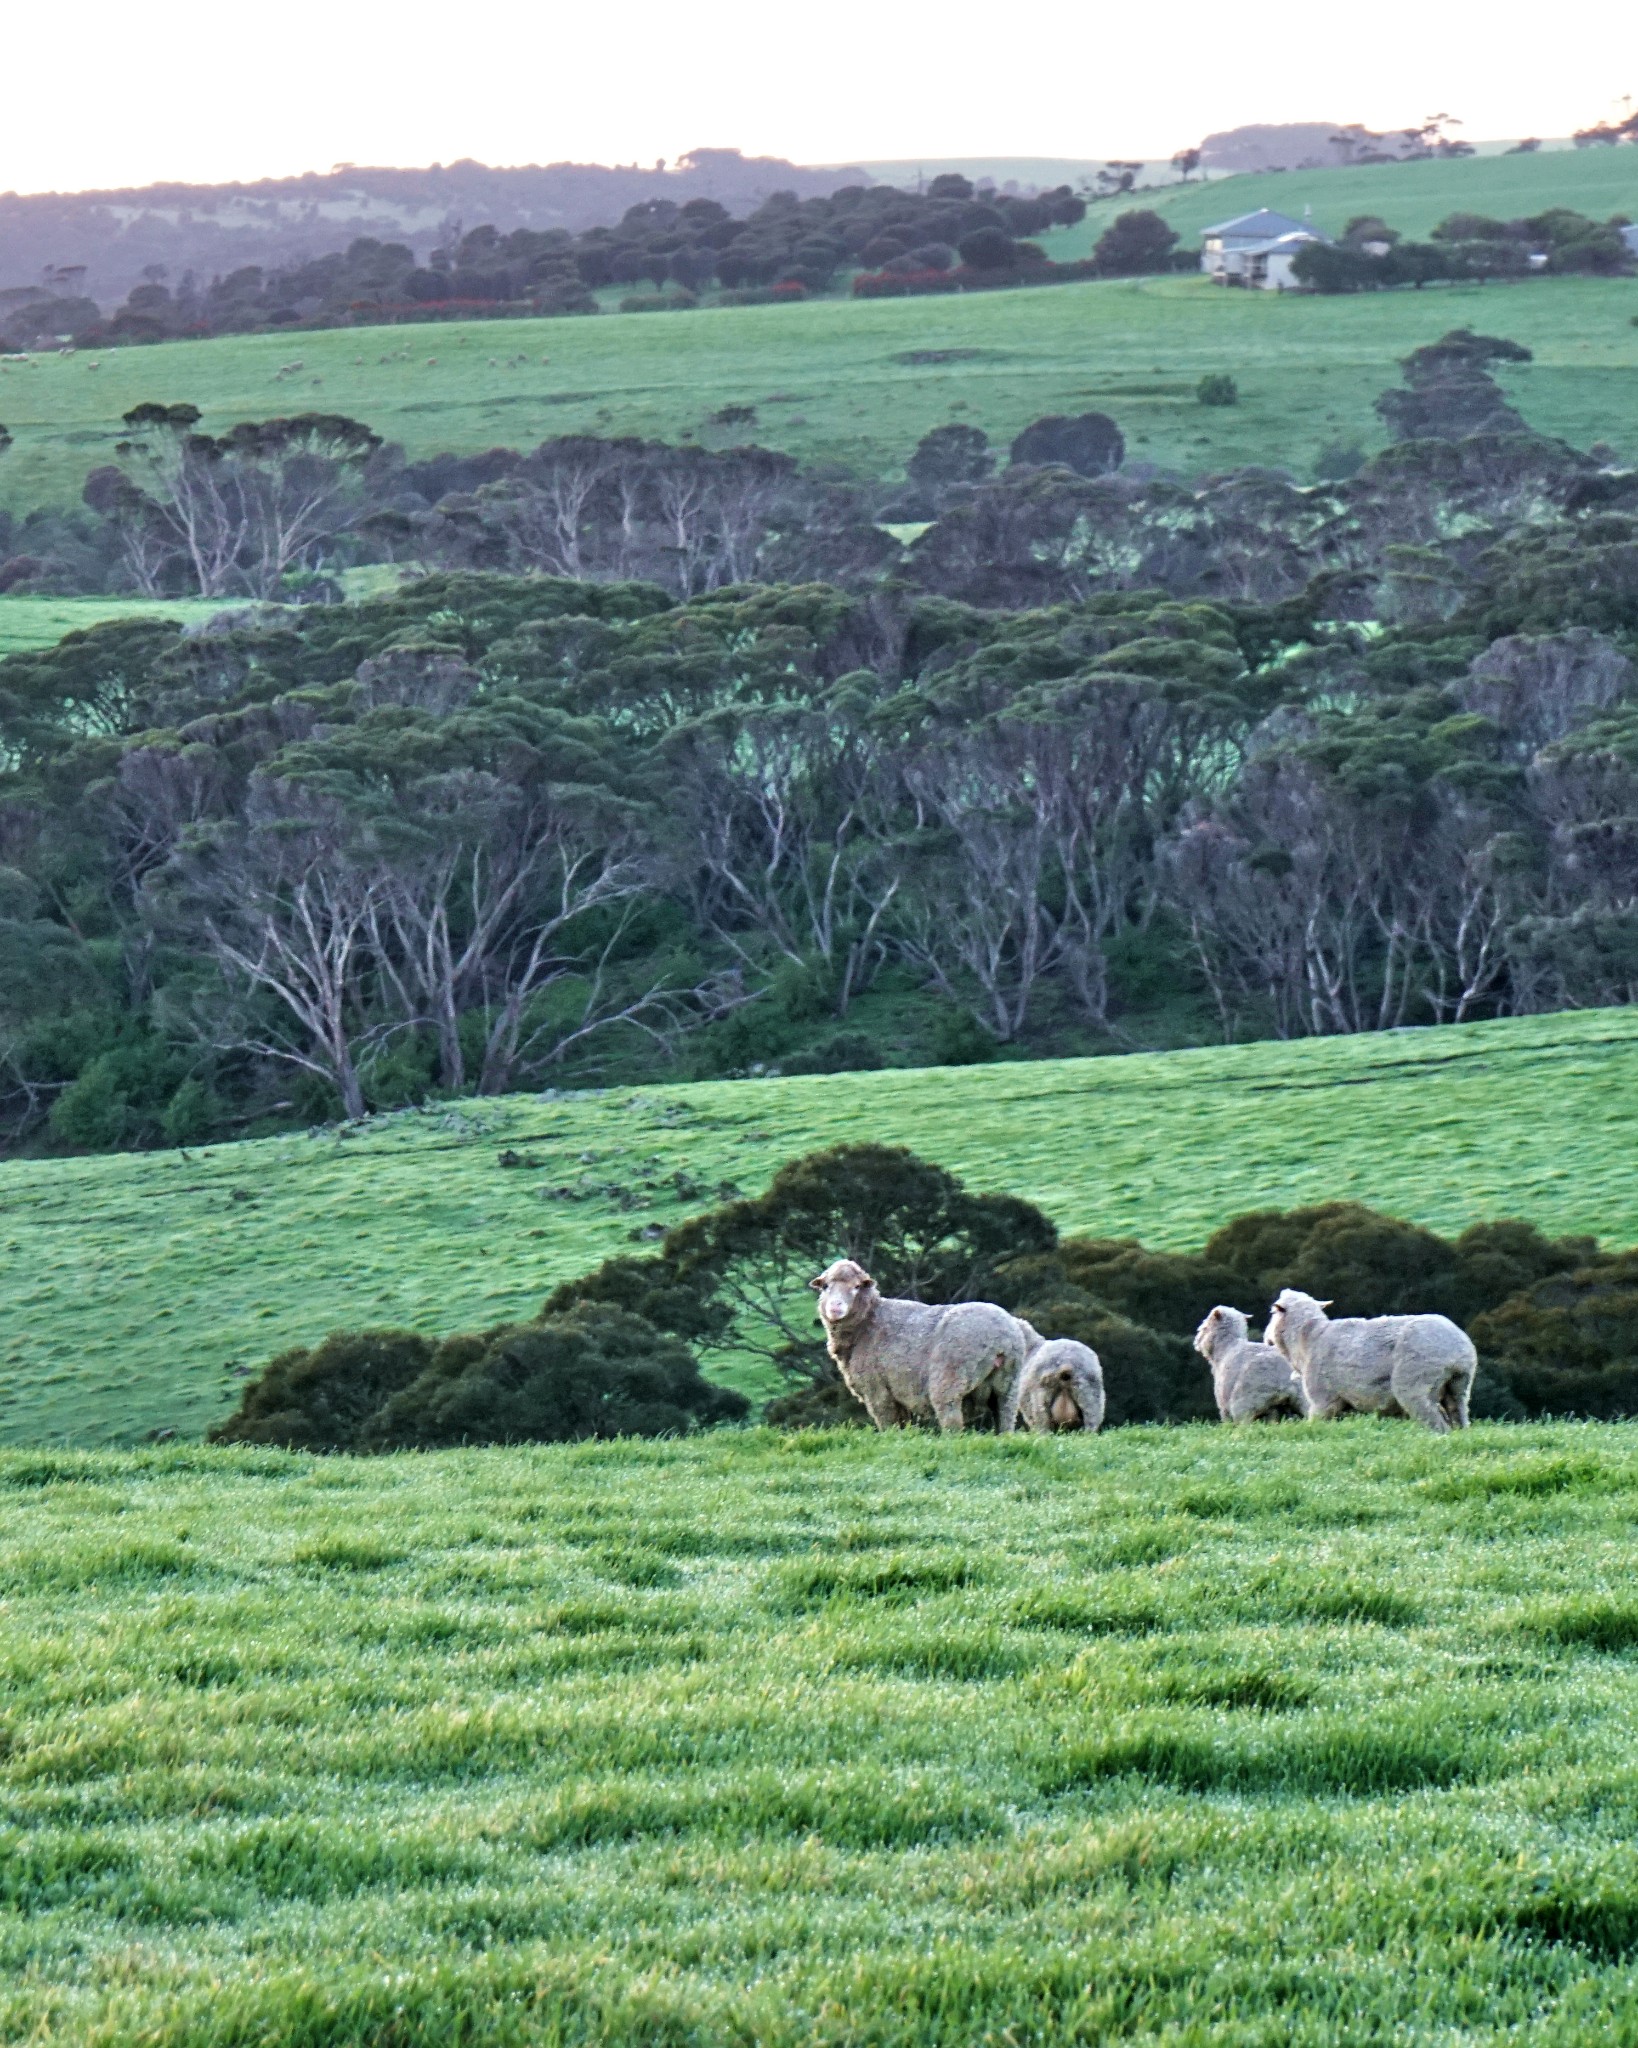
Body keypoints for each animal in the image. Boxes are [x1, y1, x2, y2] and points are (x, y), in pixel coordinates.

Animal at [810, 1253, 1031, 1433]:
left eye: (856, 1287)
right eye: (826, 1286)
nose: (835, 1308)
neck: (867, 1323)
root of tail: (1002, 1338)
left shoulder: (877, 1391)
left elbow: (888, 1425)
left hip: (949, 1379)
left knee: (952, 1423)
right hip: (1008, 1386)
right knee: (1005, 1420)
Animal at [1261, 1286, 1474, 1433]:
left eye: (1272, 1313)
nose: (1266, 1339)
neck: (1308, 1338)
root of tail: (1457, 1348)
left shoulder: (1323, 1401)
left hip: (1416, 1385)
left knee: (1437, 1425)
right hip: (1458, 1386)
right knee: (1459, 1416)